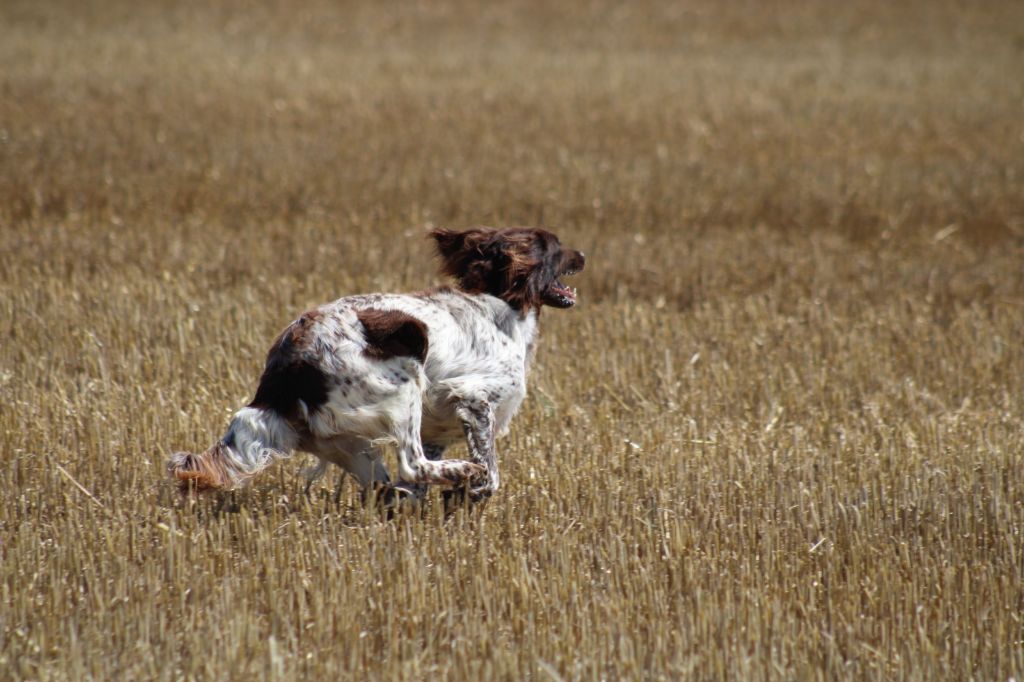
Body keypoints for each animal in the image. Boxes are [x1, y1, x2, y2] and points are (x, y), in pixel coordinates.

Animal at [167, 227, 585, 499]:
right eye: (556, 247)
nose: (583, 254)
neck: (504, 302)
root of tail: (286, 367)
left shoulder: (438, 429)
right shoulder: (473, 398)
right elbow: (487, 472)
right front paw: (473, 484)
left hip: (344, 442)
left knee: (387, 488)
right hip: (405, 376)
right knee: (411, 464)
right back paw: (464, 471)